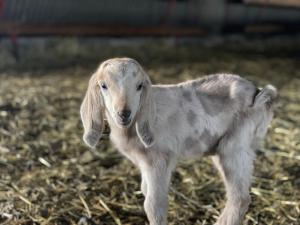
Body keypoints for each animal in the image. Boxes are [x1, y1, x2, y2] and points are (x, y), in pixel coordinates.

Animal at [79, 58, 276, 225]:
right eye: (103, 86)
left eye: (139, 86)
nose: (124, 113)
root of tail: (259, 95)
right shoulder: (144, 163)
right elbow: (145, 190)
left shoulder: (159, 159)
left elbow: (154, 204)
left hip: (235, 145)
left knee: (240, 197)